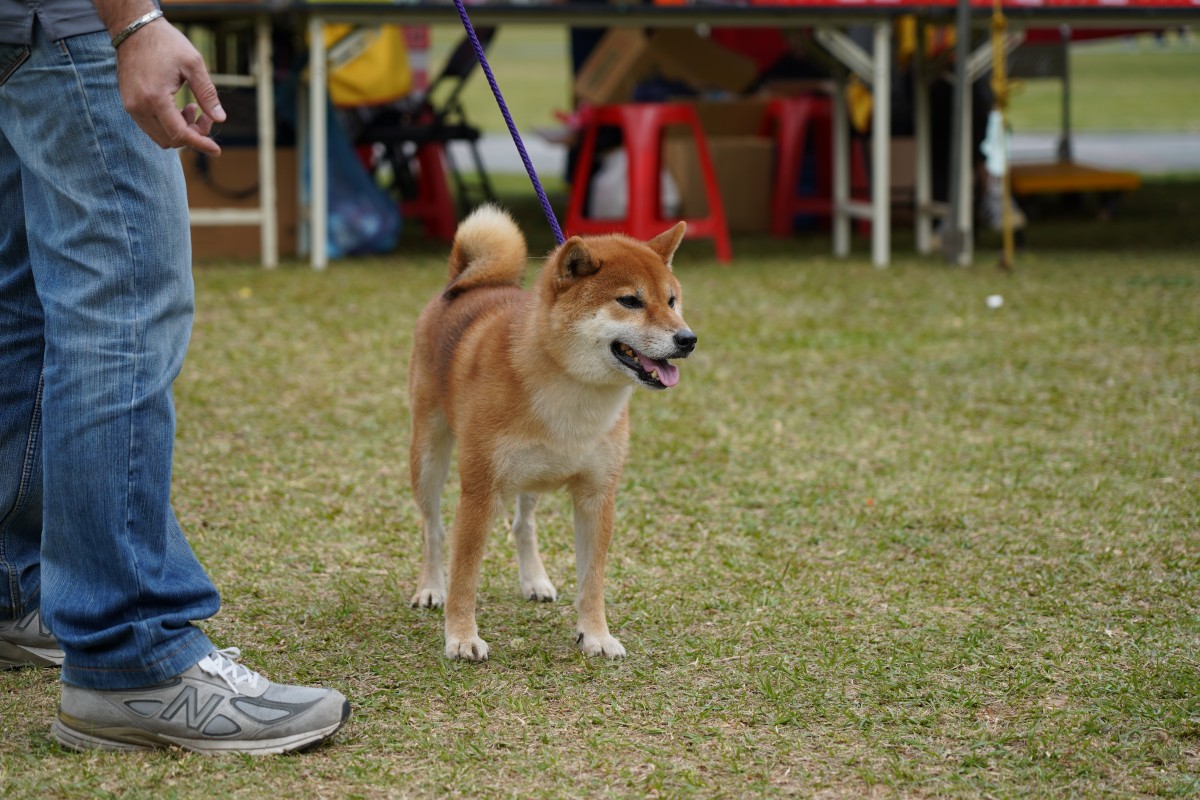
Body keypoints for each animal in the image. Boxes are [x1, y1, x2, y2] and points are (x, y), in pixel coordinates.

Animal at [410, 206, 700, 662]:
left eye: (671, 300)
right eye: (630, 301)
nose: (688, 339)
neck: (571, 390)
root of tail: (466, 285)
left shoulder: (597, 496)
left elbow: (592, 580)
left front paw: (595, 635)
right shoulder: (478, 493)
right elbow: (464, 577)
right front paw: (460, 636)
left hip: (530, 477)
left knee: (522, 524)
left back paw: (535, 580)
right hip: (428, 456)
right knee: (432, 528)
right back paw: (429, 588)